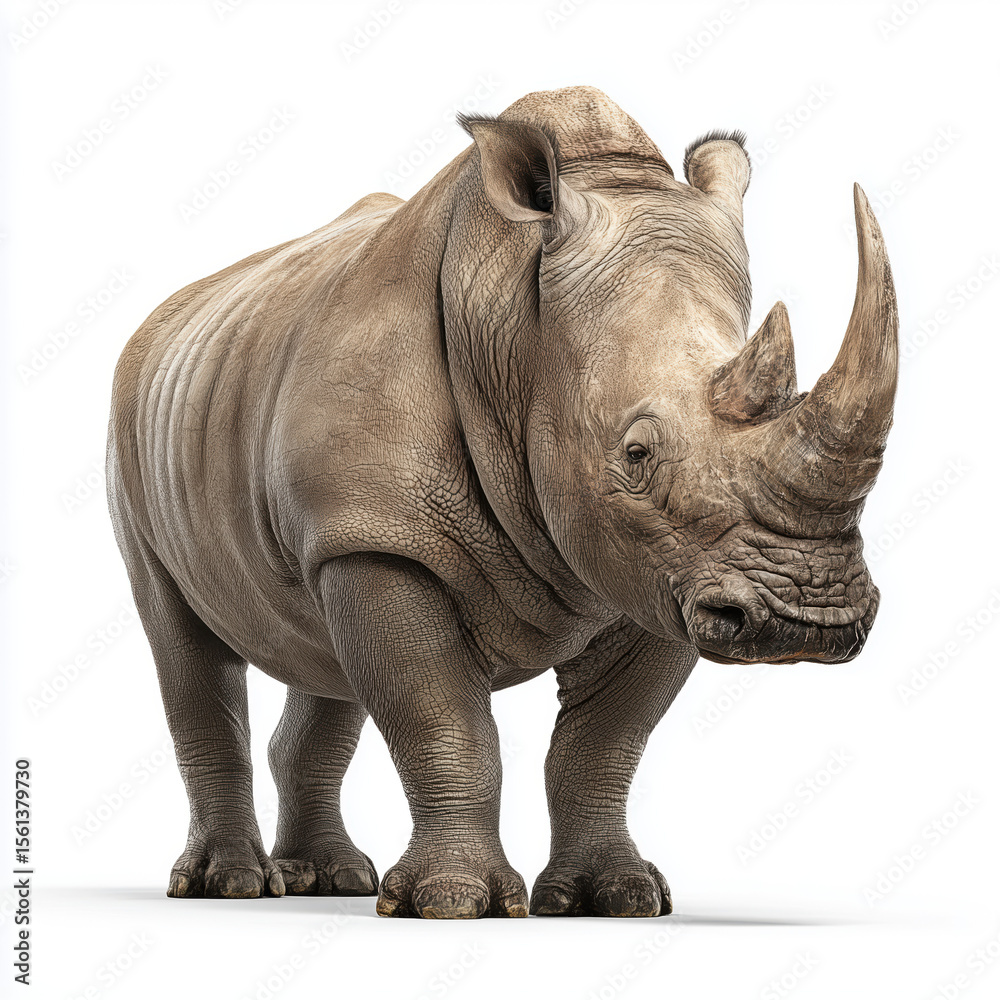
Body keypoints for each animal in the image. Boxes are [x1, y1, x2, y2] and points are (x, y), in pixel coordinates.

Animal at [107, 85, 898, 919]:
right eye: (637, 454)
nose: (808, 619)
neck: (518, 338)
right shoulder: (385, 538)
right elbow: (444, 723)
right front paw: (451, 903)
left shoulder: (662, 570)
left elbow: (604, 743)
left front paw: (615, 897)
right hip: (135, 429)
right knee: (184, 644)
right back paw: (228, 886)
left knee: (319, 650)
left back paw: (331, 878)